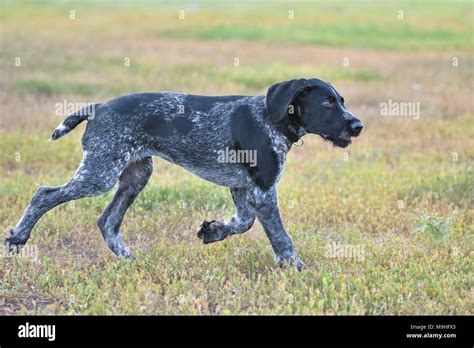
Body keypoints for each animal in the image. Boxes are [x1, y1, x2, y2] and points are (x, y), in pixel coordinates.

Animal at [5, 78, 362, 270]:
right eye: (327, 102)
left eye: (341, 101)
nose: (358, 126)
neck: (272, 120)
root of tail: (99, 107)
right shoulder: (262, 190)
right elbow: (281, 238)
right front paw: (296, 269)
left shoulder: (243, 189)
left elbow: (243, 223)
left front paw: (212, 231)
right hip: (100, 173)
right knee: (44, 194)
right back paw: (17, 237)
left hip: (135, 175)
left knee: (107, 221)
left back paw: (128, 259)